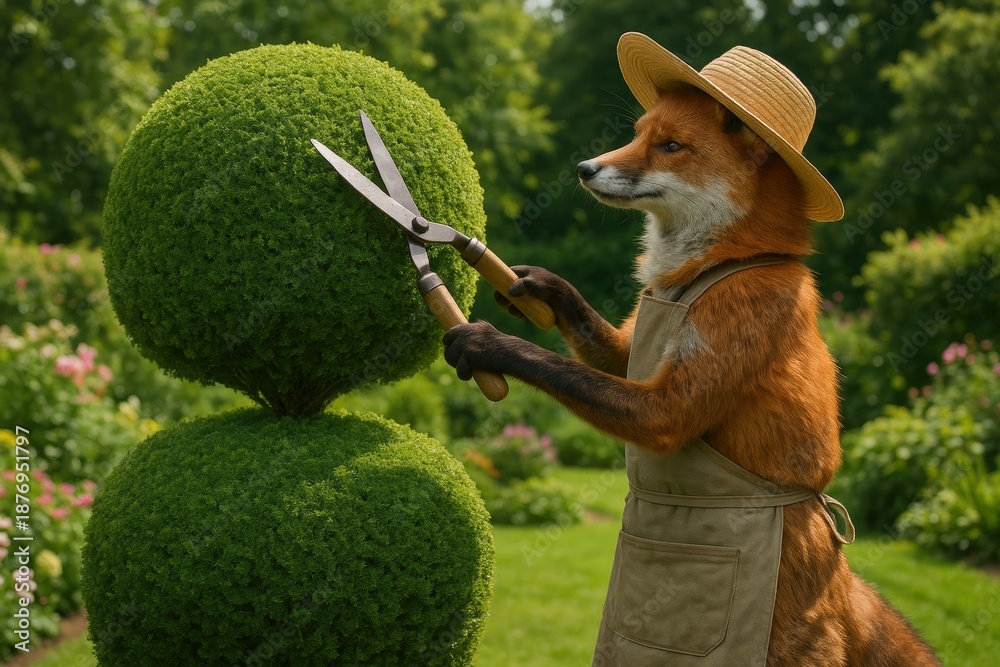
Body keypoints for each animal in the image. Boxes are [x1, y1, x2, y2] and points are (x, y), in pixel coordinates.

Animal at [442, 82, 942, 665]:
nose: (584, 168)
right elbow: (596, 341)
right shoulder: (629, 353)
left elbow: (554, 365)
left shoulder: (666, 412)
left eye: (671, 146)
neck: (704, 273)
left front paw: (492, 344)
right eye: (637, 135)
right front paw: (541, 285)